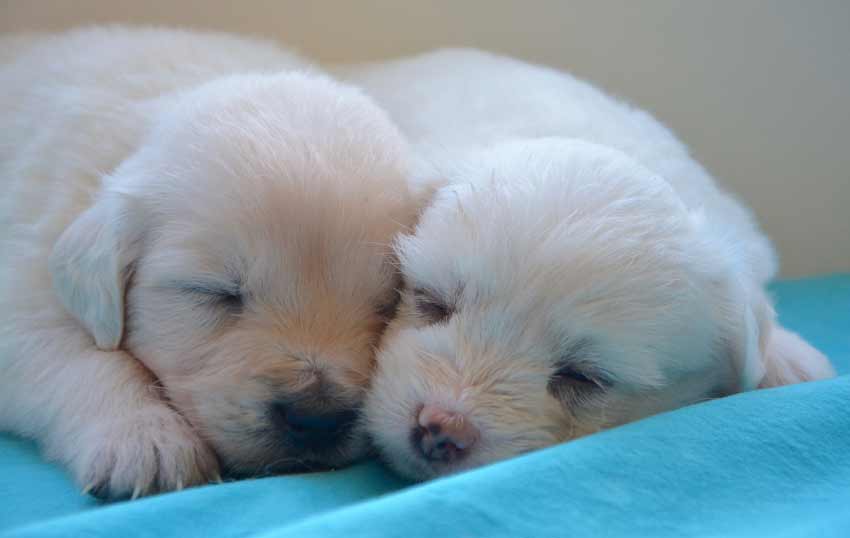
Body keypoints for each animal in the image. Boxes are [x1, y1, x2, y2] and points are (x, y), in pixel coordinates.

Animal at [0, 28, 424, 498]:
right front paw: (148, 440)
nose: (317, 417)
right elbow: (82, 357)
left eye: (385, 303)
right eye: (215, 292)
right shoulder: (28, 273)